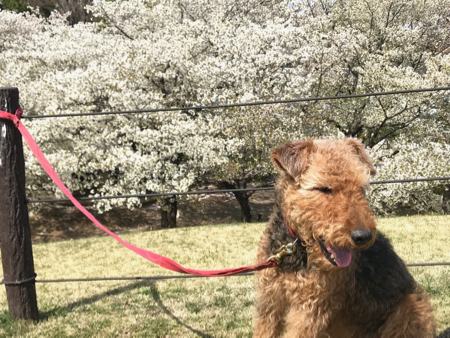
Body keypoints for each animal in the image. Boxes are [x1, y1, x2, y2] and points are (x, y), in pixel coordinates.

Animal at [255, 138, 438, 338]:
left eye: (361, 188)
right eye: (324, 188)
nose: (363, 236)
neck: (295, 250)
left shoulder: (309, 310)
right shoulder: (270, 303)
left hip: (407, 312)